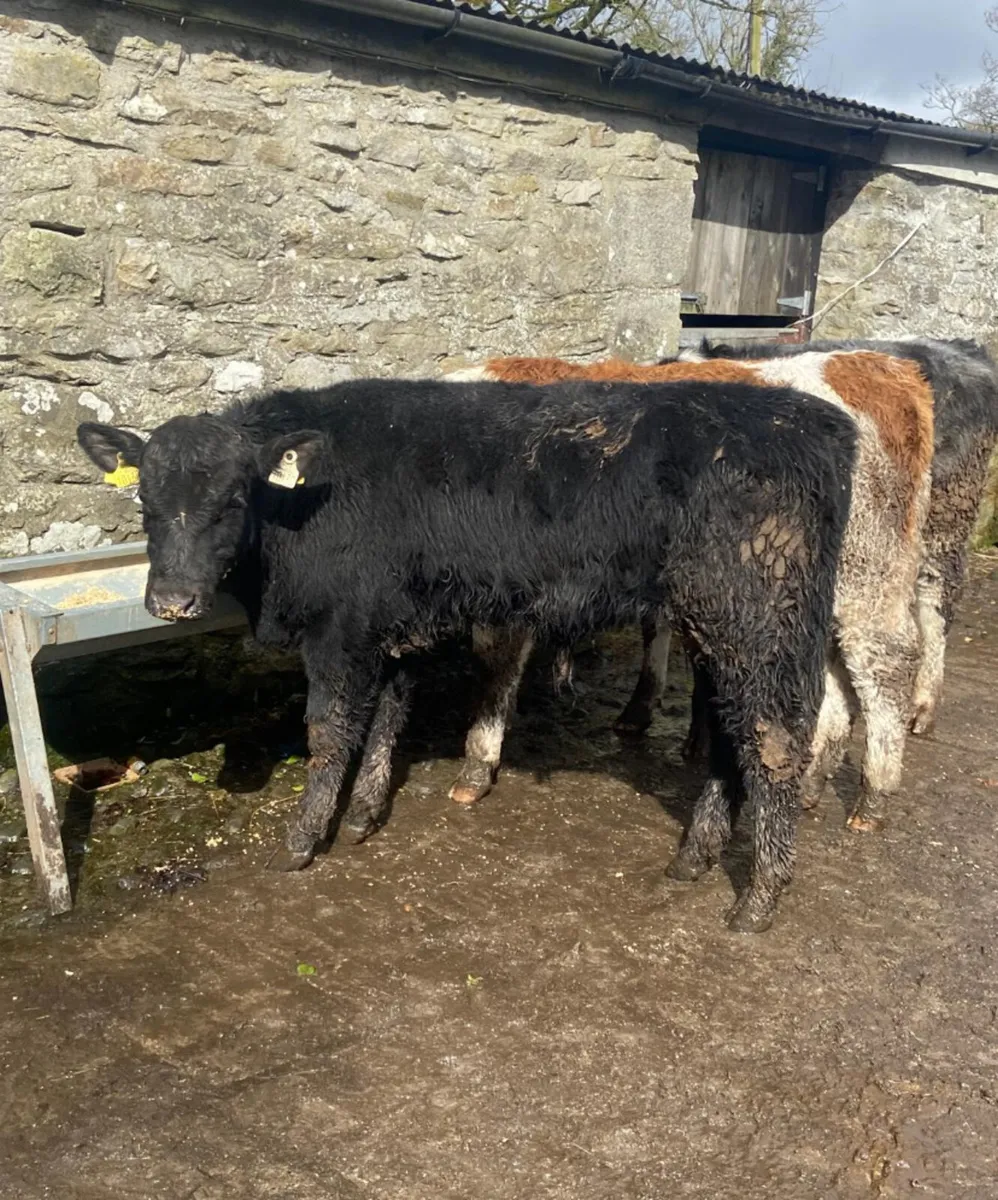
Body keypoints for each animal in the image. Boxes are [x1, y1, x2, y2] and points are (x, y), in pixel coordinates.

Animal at [78, 375, 855, 932]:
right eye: (145, 500)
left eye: (235, 498)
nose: (172, 600)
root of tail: (816, 423)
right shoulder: (392, 623)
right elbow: (389, 716)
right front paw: (363, 816)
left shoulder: (341, 628)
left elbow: (330, 732)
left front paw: (303, 840)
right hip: (715, 627)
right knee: (728, 732)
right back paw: (693, 859)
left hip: (756, 619)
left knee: (775, 741)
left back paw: (759, 898)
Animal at [445, 349, 936, 834]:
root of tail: (874, 366)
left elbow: (494, 670)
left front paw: (476, 768)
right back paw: (811, 785)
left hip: (866, 574)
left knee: (888, 661)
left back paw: (873, 798)